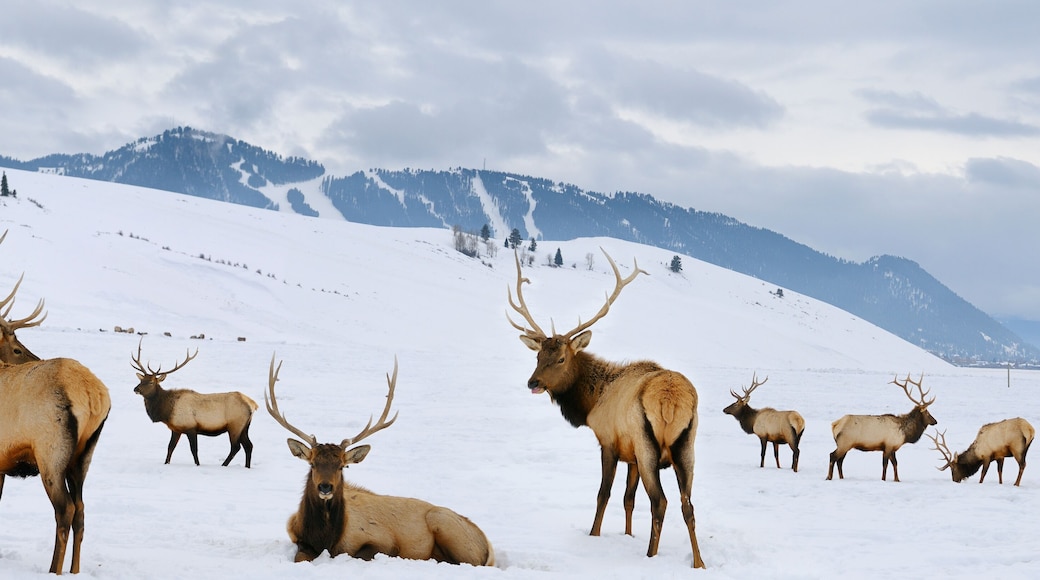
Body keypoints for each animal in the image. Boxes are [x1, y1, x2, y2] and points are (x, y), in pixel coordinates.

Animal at [0, 273, 112, 574]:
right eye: (17, 348)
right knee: (81, 510)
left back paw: (54, 569)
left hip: (51, 452)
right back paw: (74, 570)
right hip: (83, 455)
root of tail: (95, 396)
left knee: (65, 509)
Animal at [265, 356, 495, 566]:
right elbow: (300, 557)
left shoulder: (383, 541)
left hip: (445, 525)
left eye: (342, 467)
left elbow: (361, 554)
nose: (325, 487)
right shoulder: (297, 537)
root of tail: (487, 545)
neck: (325, 539)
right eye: (312, 464)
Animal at [507, 248, 705, 568]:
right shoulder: (632, 456)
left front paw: (594, 534)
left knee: (660, 502)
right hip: (685, 447)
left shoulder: (609, 443)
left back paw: (651, 556)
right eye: (537, 356)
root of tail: (672, 400)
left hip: (649, 446)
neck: (591, 402)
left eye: (561, 358)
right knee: (687, 504)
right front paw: (627, 535)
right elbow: (628, 499)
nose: (532, 382)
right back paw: (698, 563)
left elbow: (604, 494)